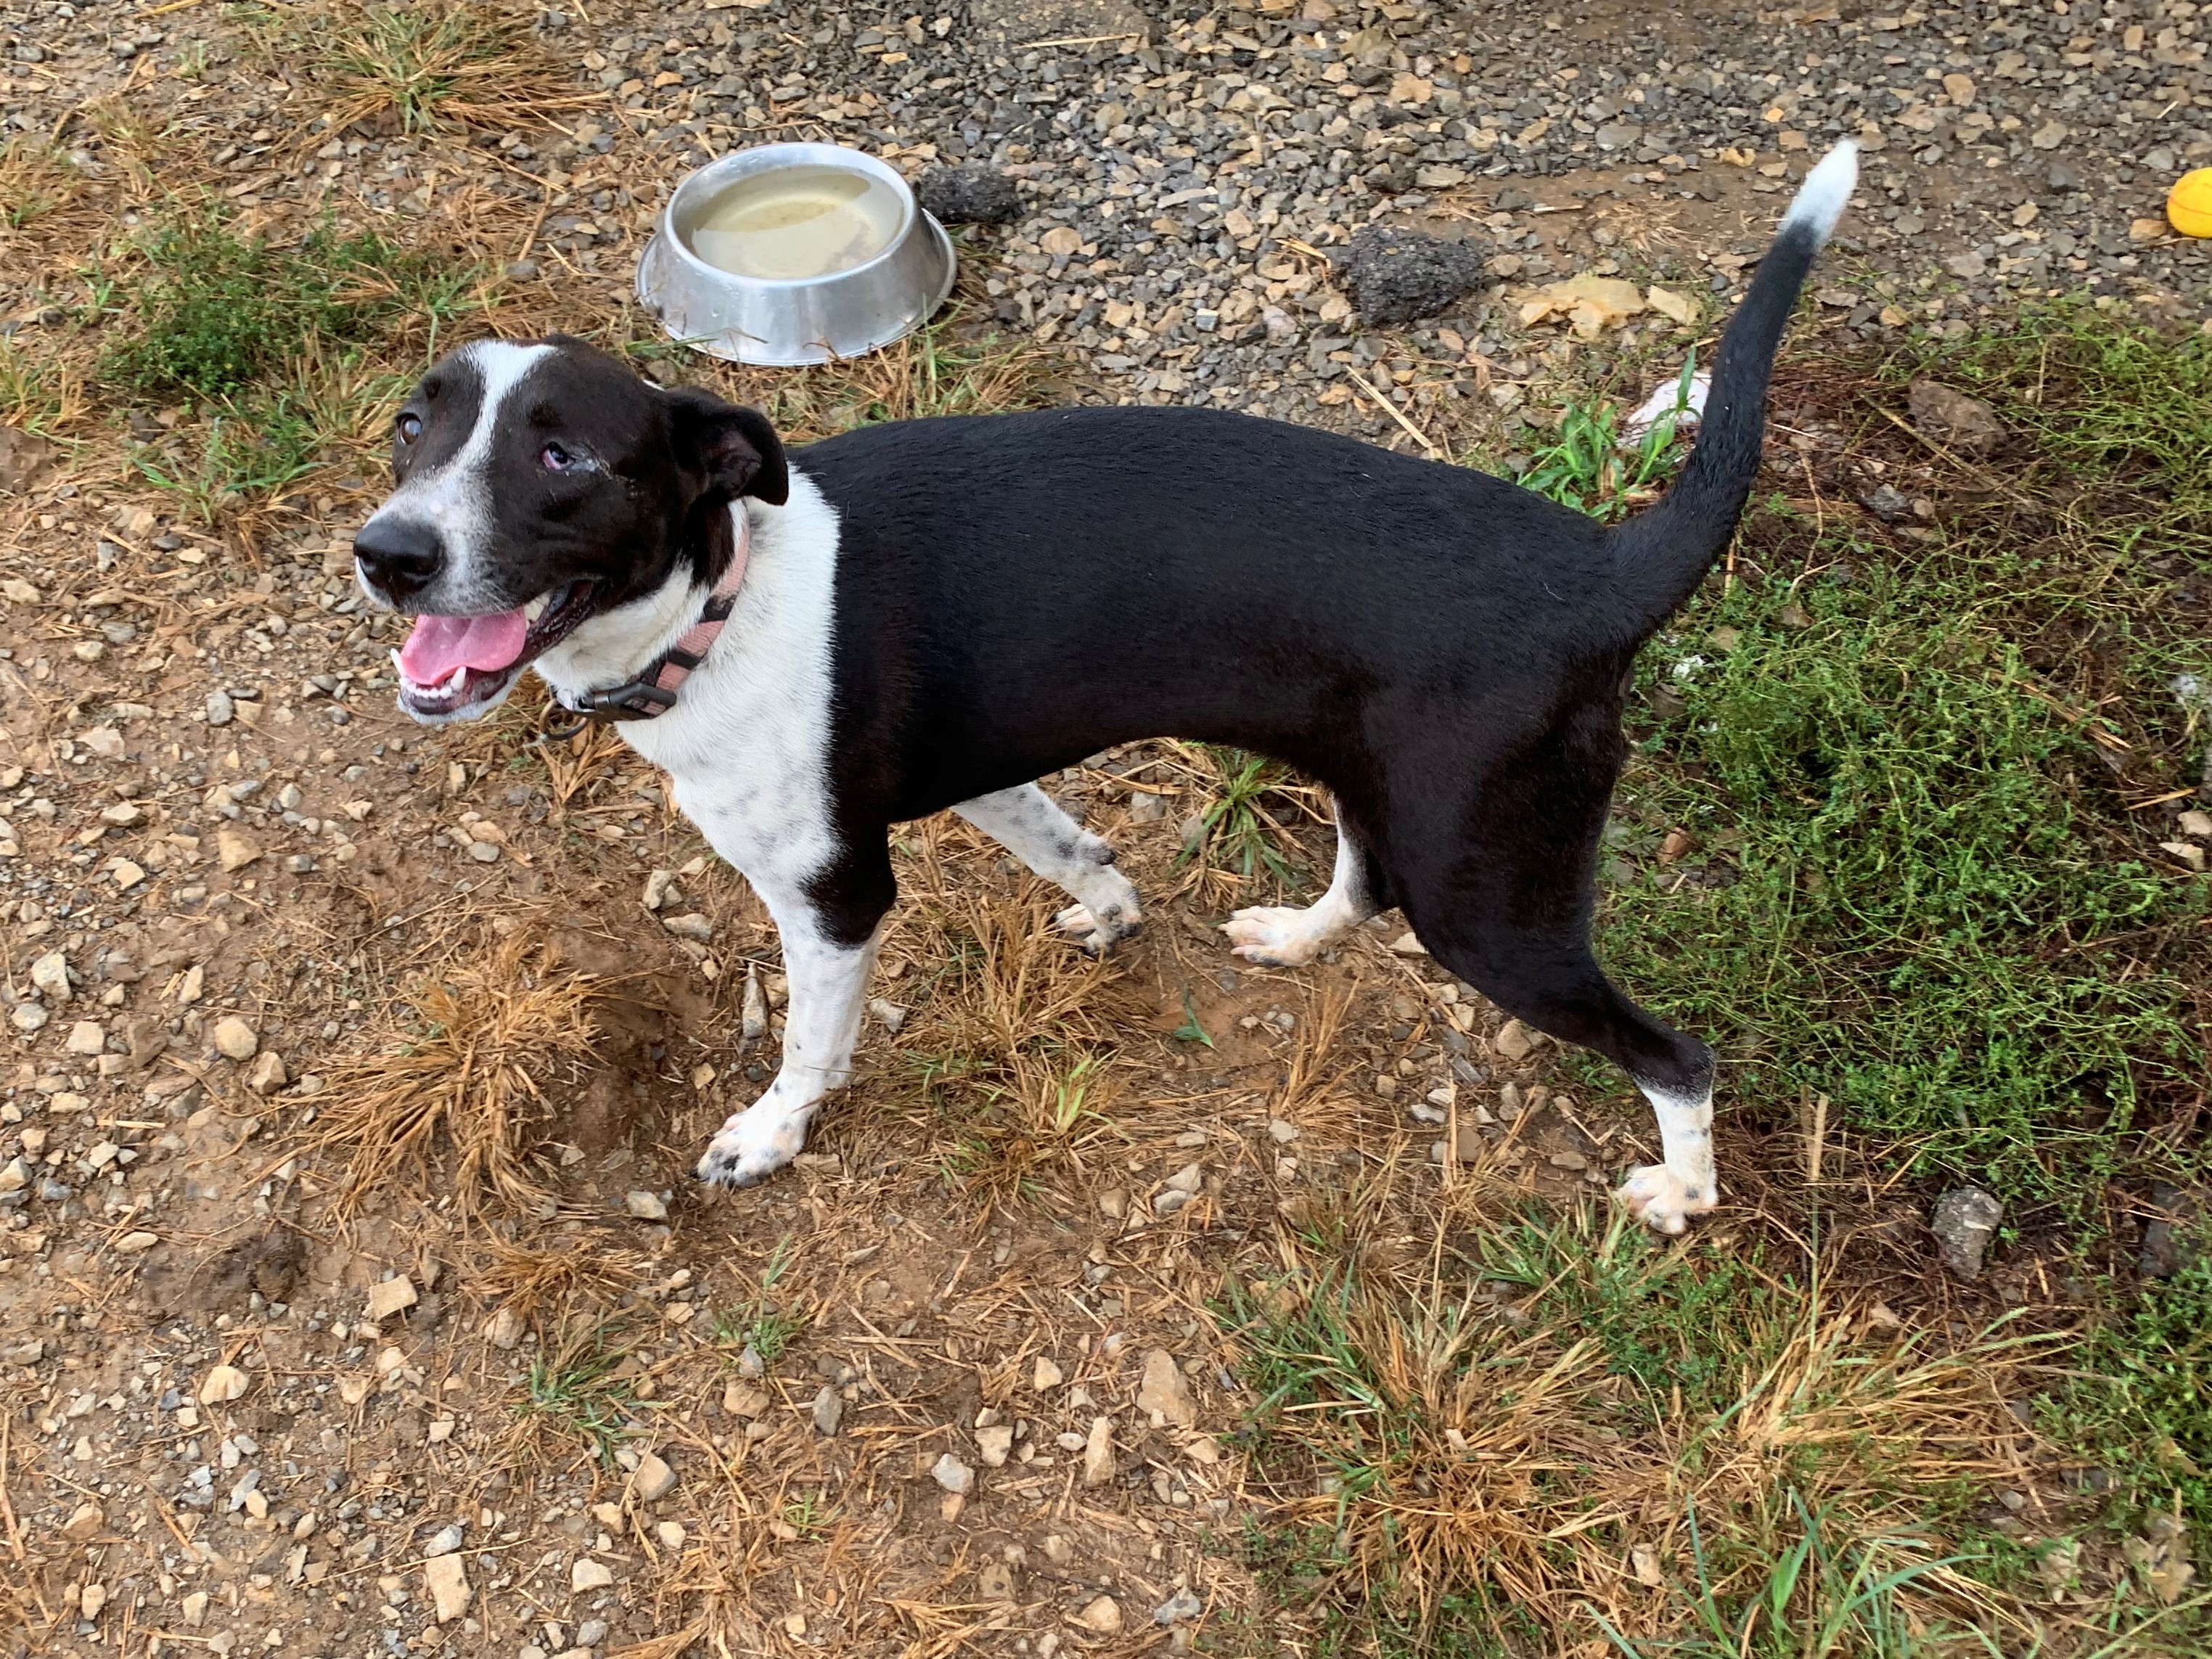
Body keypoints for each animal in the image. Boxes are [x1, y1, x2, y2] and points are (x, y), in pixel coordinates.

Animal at [353, 146, 1858, 1238]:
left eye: (562, 458)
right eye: (411, 426)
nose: (387, 553)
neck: (720, 601)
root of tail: (1598, 572)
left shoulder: (834, 895)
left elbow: (811, 1046)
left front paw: (769, 1135)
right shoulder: (983, 775)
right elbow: (1071, 846)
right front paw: (1113, 911)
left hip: (1488, 898)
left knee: (1675, 1055)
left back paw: (1681, 1189)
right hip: (1391, 793)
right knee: (1364, 882)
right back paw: (1294, 937)